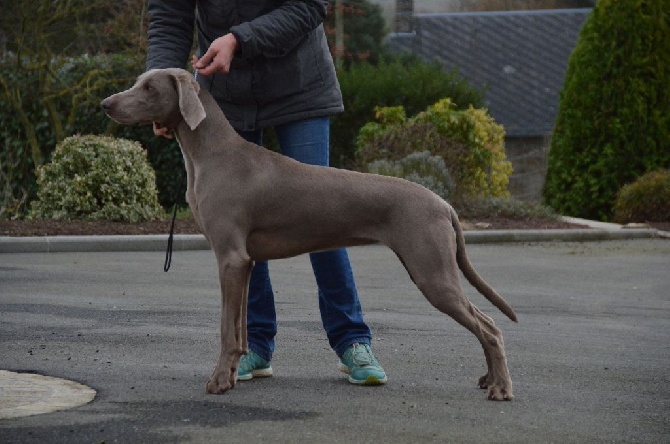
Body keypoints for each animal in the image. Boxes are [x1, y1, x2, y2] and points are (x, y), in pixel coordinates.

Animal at [101, 67, 520, 400]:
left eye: (149, 88)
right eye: (139, 82)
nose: (106, 103)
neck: (212, 155)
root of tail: (443, 203)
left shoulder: (230, 258)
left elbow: (224, 329)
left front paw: (219, 381)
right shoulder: (245, 263)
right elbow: (239, 329)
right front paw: (234, 373)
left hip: (431, 271)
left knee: (490, 327)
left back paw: (501, 387)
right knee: (485, 323)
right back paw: (488, 379)